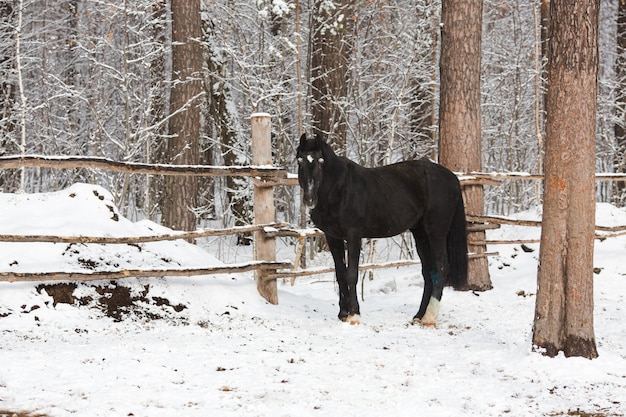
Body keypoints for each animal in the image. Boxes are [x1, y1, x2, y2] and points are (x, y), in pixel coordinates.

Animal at [294, 133, 466, 324]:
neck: (340, 190)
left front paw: (354, 314)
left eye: (321, 161)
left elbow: (351, 274)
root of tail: (451, 177)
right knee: (428, 273)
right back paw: (419, 315)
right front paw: (343, 313)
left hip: (436, 231)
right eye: (300, 161)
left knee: (441, 267)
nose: (310, 199)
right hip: (421, 234)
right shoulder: (333, 237)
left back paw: (429, 317)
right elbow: (340, 274)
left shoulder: (353, 236)